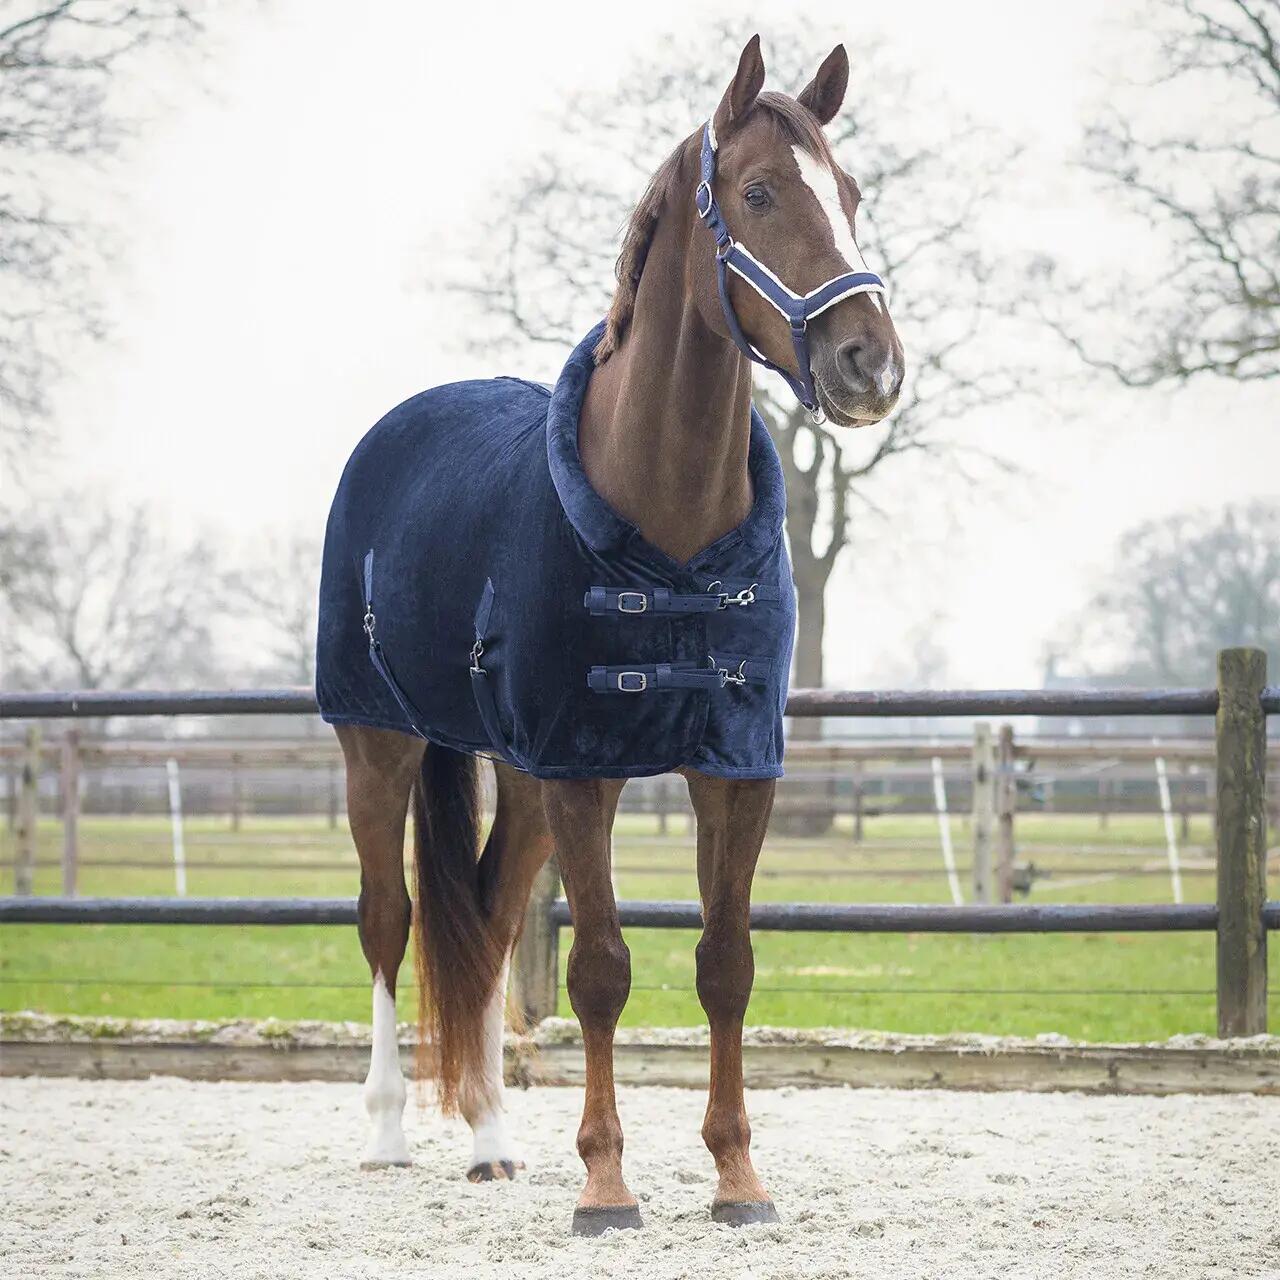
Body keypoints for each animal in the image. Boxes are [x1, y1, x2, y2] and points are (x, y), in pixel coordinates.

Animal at [317, 34, 903, 1235]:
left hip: (520, 774)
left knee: (490, 920)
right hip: (380, 746)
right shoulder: (585, 769)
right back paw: (391, 1130)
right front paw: (604, 1184)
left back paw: (490, 1139)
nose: (870, 363)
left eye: (854, 195)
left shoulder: (732, 765)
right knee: (390, 919)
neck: (669, 536)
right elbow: (598, 969)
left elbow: (724, 963)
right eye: (759, 192)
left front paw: (736, 1176)